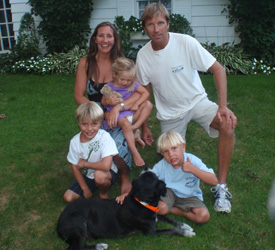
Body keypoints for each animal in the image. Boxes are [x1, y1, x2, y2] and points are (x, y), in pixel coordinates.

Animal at [57, 168, 195, 250]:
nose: (145, 167)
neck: (142, 202)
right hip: (79, 221)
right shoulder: (150, 232)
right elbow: (171, 229)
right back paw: (100, 245)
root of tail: (58, 224)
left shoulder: (155, 216)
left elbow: (170, 219)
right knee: (76, 248)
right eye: (154, 176)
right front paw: (187, 233)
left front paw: (186, 226)